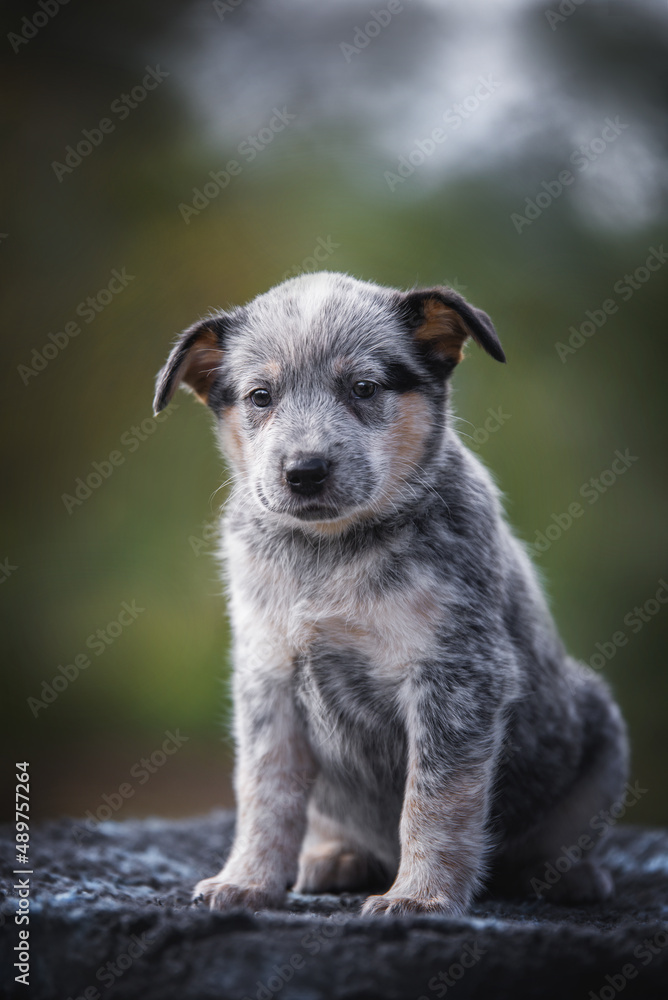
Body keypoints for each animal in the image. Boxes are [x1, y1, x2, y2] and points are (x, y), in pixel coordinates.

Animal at [154, 272, 628, 916]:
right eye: (260, 396)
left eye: (364, 387)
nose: (304, 470)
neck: (327, 553)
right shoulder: (268, 681)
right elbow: (265, 796)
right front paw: (246, 880)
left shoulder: (456, 678)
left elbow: (435, 800)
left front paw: (420, 897)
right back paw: (337, 858)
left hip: (601, 733)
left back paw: (566, 876)